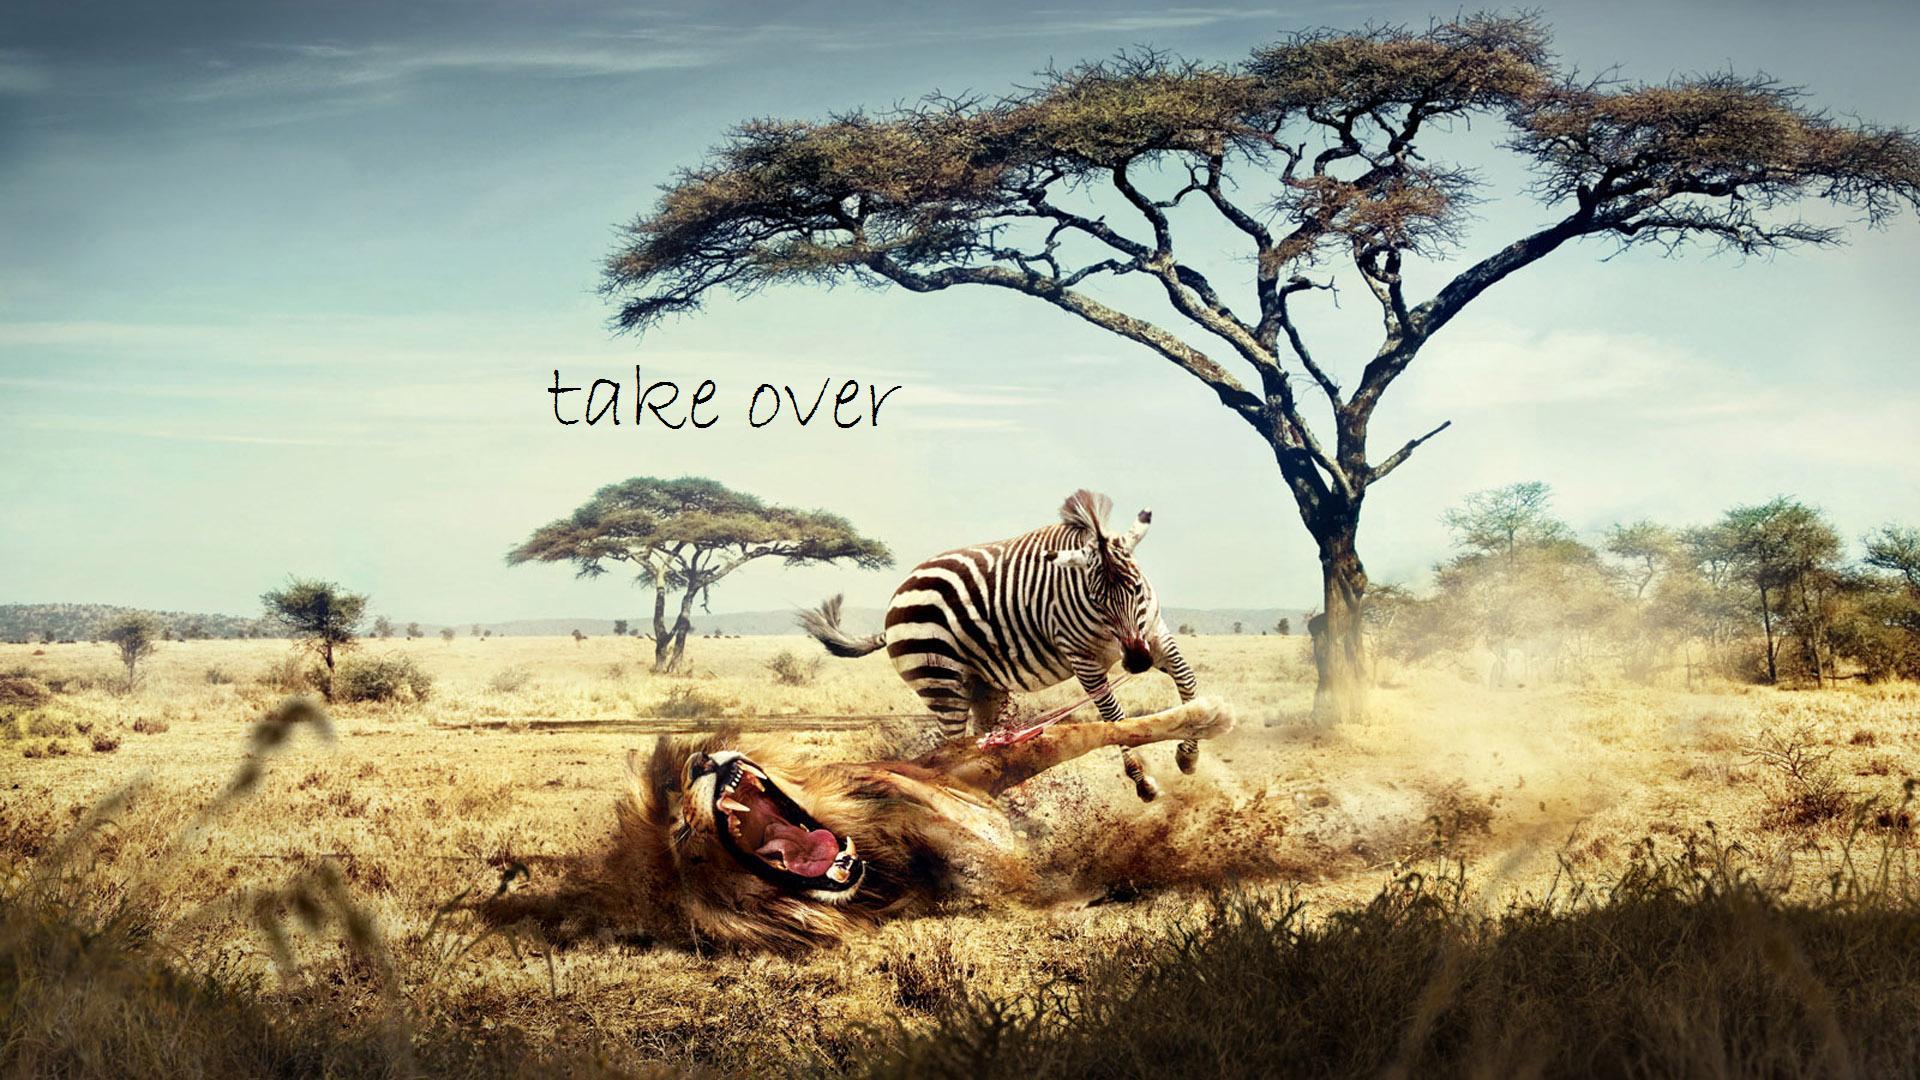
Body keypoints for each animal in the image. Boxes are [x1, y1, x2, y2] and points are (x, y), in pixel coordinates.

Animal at [609, 697, 1234, 950]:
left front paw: (1205, 718)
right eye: (683, 836)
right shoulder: (980, 889)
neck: (878, 856)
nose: (698, 762)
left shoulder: (968, 765)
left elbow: (1090, 731)